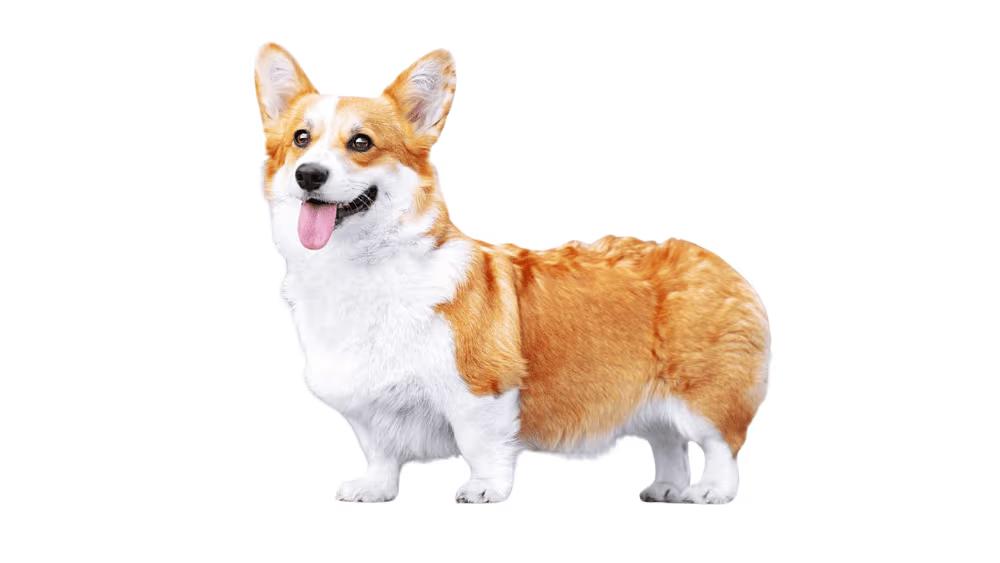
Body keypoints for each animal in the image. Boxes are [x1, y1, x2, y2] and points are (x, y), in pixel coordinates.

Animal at [254, 44, 769, 504]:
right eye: (301, 139)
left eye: (360, 142)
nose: (309, 175)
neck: (362, 265)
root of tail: (719, 263)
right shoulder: (367, 407)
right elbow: (379, 451)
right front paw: (375, 490)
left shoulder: (482, 390)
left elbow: (480, 445)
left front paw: (485, 489)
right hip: (652, 404)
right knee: (667, 442)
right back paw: (666, 489)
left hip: (704, 395)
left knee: (721, 446)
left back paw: (711, 491)